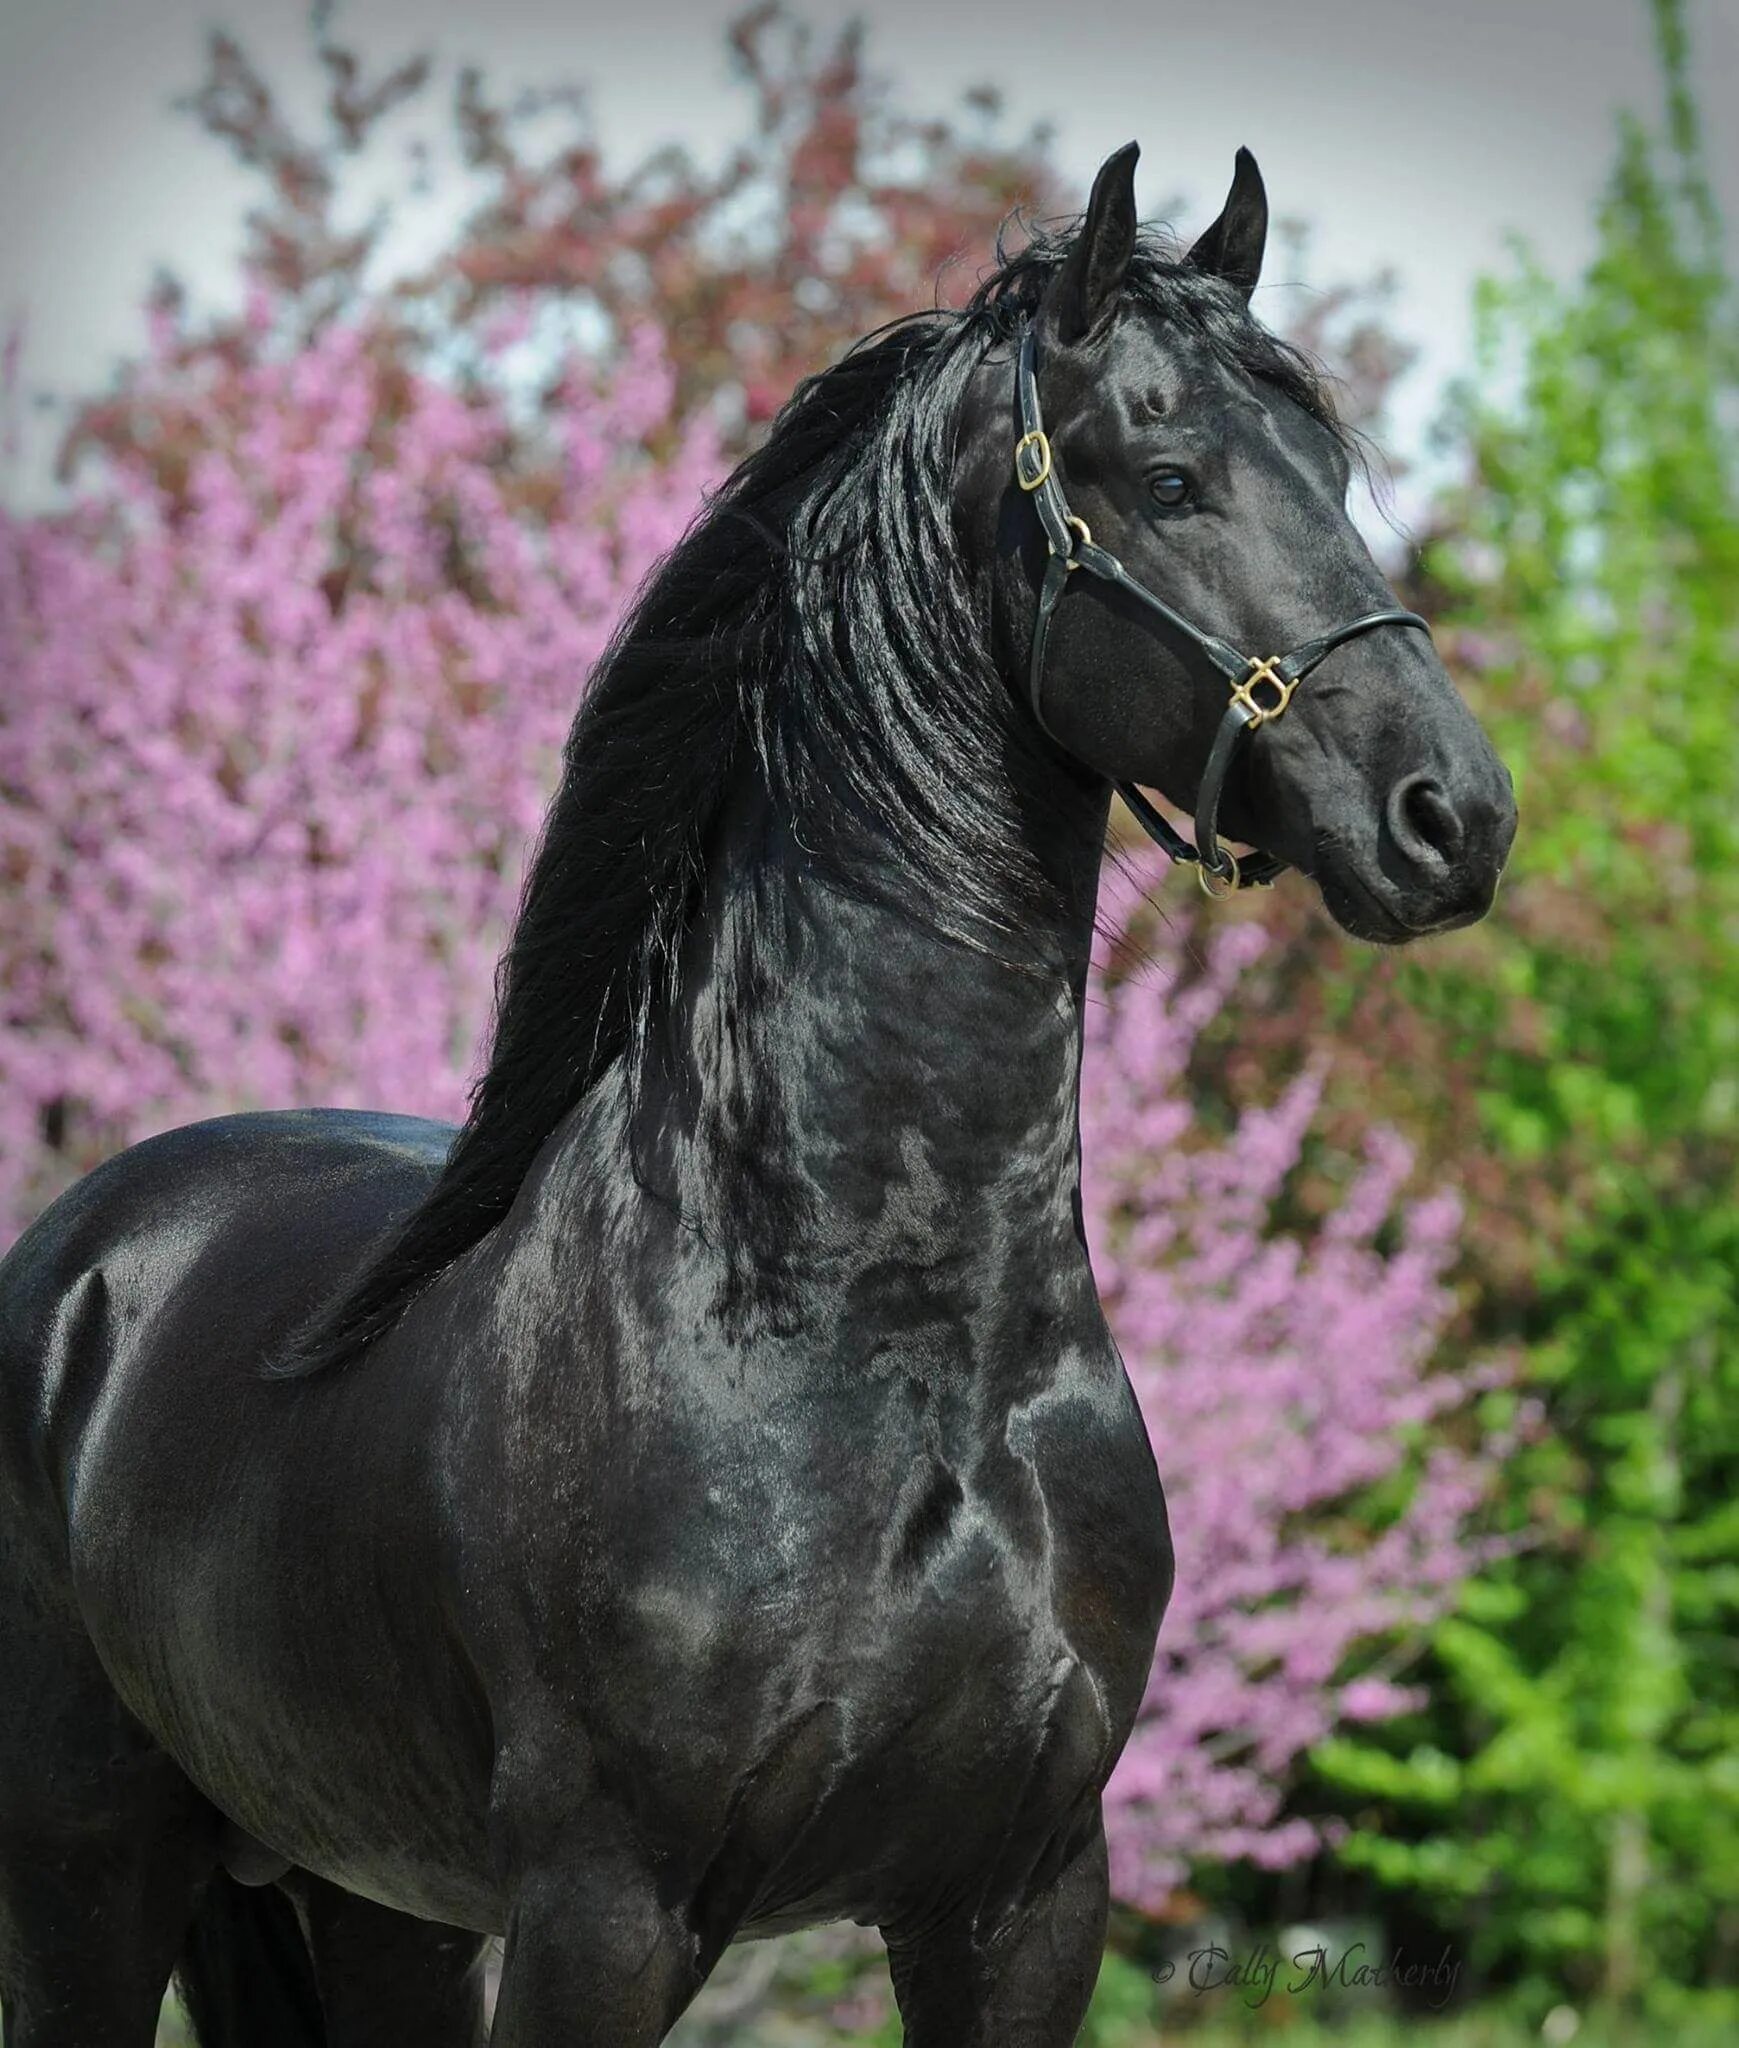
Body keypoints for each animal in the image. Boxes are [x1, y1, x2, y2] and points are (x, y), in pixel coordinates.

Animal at [0, 148, 1515, 2048]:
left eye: (1331, 474)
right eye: (1169, 482)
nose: (1450, 814)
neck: (868, 1320)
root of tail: (87, 1254)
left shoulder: (1019, 1900)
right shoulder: (605, 1910)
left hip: (372, 1906)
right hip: (89, 1866)